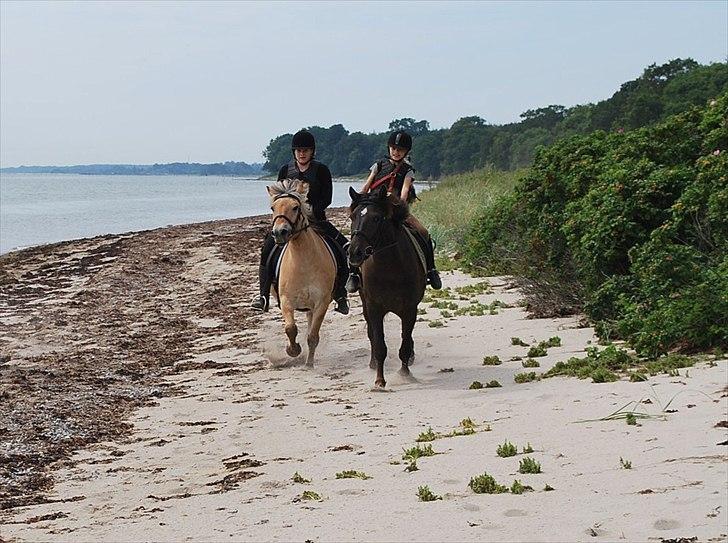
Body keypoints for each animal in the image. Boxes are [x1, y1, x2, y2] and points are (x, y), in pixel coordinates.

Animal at [268, 181, 336, 368]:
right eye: (272, 208)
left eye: (295, 207)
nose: (279, 233)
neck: (303, 262)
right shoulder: (286, 301)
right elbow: (290, 328)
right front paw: (293, 350)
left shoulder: (321, 303)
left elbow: (313, 336)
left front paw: (309, 363)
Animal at [346, 188, 426, 392]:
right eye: (352, 216)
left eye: (376, 218)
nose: (354, 253)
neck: (390, 267)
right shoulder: (374, 308)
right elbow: (379, 345)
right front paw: (379, 381)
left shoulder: (409, 309)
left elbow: (405, 342)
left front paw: (405, 374)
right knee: (372, 336)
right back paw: (372, 363)